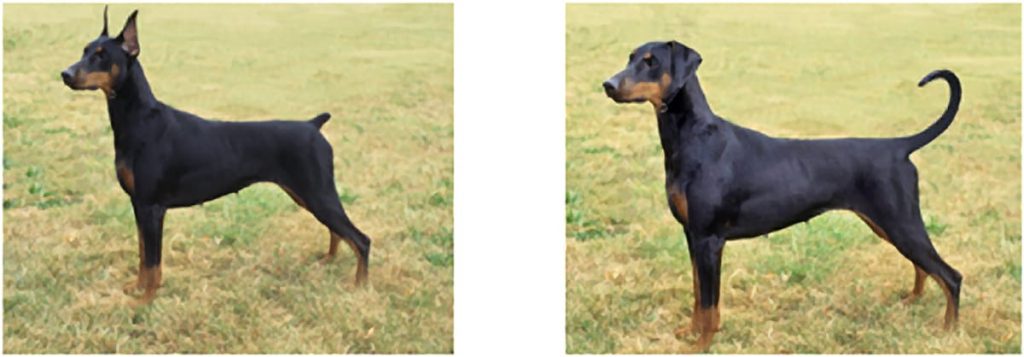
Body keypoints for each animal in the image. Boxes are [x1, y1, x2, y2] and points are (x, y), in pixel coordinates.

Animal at [60, 7, 372, 302]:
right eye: (84, 51)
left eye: (101, 56)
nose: (65, 74)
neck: (139, 120)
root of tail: (313, 125)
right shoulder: (138, 204)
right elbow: (142, 254)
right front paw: (136, 289)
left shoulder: (152, 207)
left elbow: (153, 262)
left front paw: (144, 301)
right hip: (306, 195)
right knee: (337, 231)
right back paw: (328, 261)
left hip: (317, 192)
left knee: (361, 239)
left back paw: (360, 288)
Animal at [598, 41, 958, 349]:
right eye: (631, 58)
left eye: (651, 62)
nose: (608, 85)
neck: (693, 138)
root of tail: (898, 146)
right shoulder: (692, 235)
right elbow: (699, 293)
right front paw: (690, 332)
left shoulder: (709, 240)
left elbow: (710, 304)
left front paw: (701, 345)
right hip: (888, 226)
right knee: (923, 267)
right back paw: (912, 301)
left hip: (901, 223)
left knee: (951, 276)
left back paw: (949, 331)